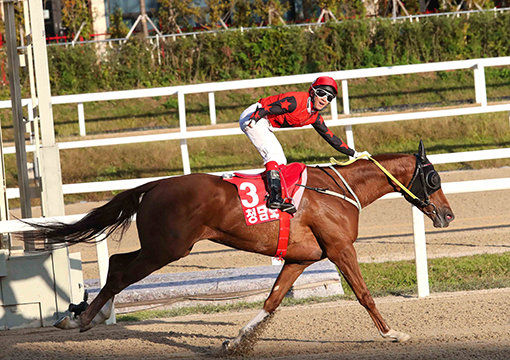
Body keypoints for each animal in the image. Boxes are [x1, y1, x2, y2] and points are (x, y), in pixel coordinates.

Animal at [21, 141, 456, 352]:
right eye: (434, 177)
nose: (448, 214)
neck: (340, 190)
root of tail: (155, 185)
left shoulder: (300, 257)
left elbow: (272, 300)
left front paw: (235, 342)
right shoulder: (339, 248)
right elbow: (364, 294)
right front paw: (393, 334)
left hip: (162, 248)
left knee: (116, 262)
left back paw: (81, 314)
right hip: (167, 248)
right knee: (120, 269)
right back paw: (80, 319)